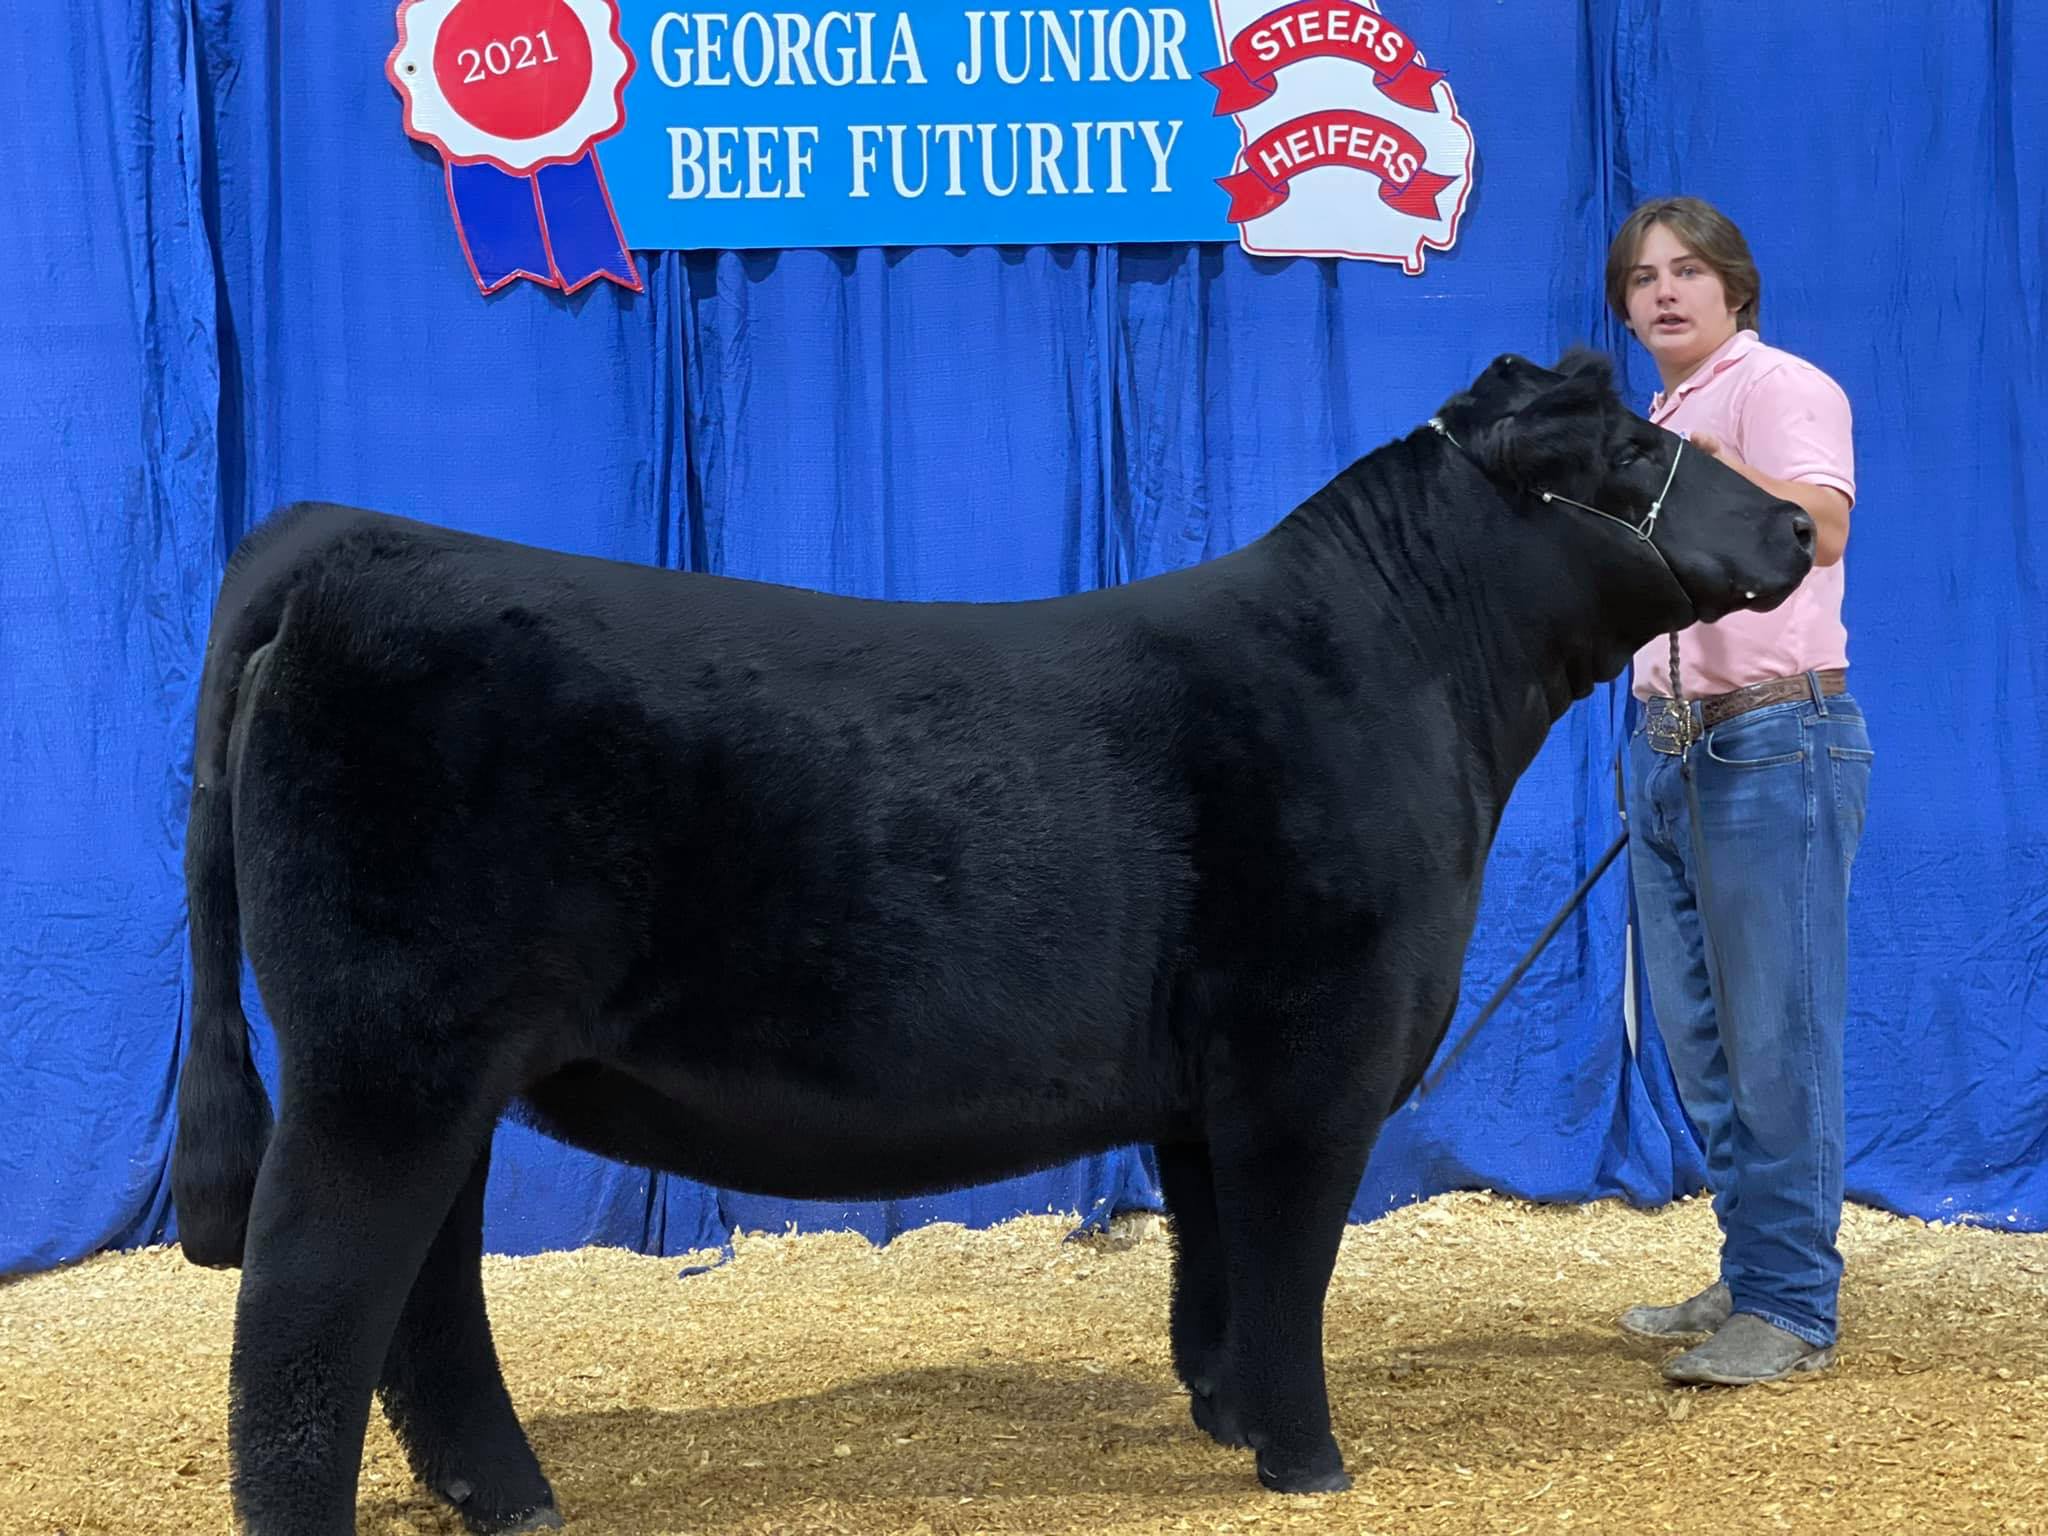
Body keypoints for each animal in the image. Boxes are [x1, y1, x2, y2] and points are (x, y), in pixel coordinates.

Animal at [169, 348, 1814, 1533]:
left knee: (423, 1294)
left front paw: (1223, 1418)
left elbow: (1214, 1258)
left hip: (437, 1065)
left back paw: (508, 1497)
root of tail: (341, 543)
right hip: (384, 1057)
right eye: (1634, 450)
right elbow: (1288, 1260)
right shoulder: (1310, 1052)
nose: (1802, 521)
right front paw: (1309, 1460)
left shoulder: (1204, 1080)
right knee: (305, 1305)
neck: (1408, 676)